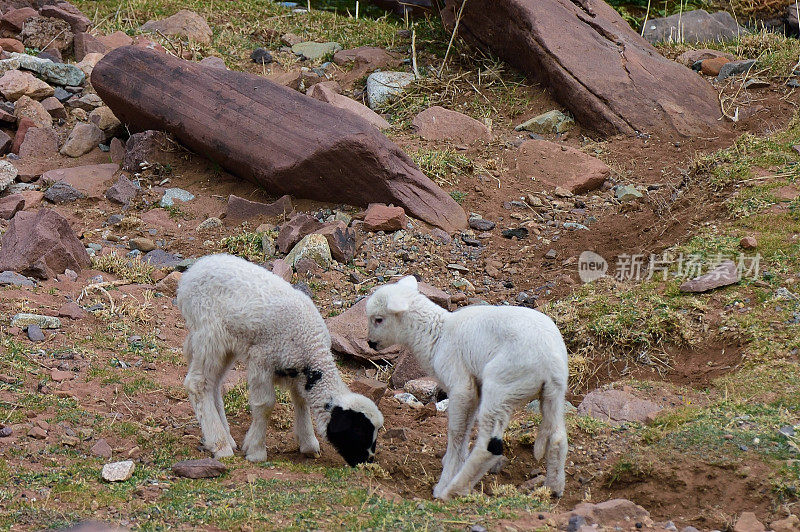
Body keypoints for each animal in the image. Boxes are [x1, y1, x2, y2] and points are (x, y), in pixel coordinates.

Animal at [178, 254, 384, 466]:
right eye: (358, 431)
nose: (367, 460)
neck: (311, 348)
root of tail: (192, 272)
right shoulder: (261, 360)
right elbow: (265, 405)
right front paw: (256, 451)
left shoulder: (296, 370)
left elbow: (300, 400)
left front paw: (308, 444)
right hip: (210, 333)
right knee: (198, 384)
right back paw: (220, 445)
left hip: (224, 344)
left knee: (214, 384)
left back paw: (225, 437)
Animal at [368, 276, 568, 500]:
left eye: (378, 319)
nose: (370, 343)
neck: (436, 334)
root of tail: (550, 363)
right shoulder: (475, 387)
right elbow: (465, 427)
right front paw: (454, 462)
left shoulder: (460, 385)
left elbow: (456, 431)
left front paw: (447, 476)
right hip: (553, 393)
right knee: (558, 437)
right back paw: (554, 488)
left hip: (502, 384)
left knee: (490, 447)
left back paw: (452, 490)